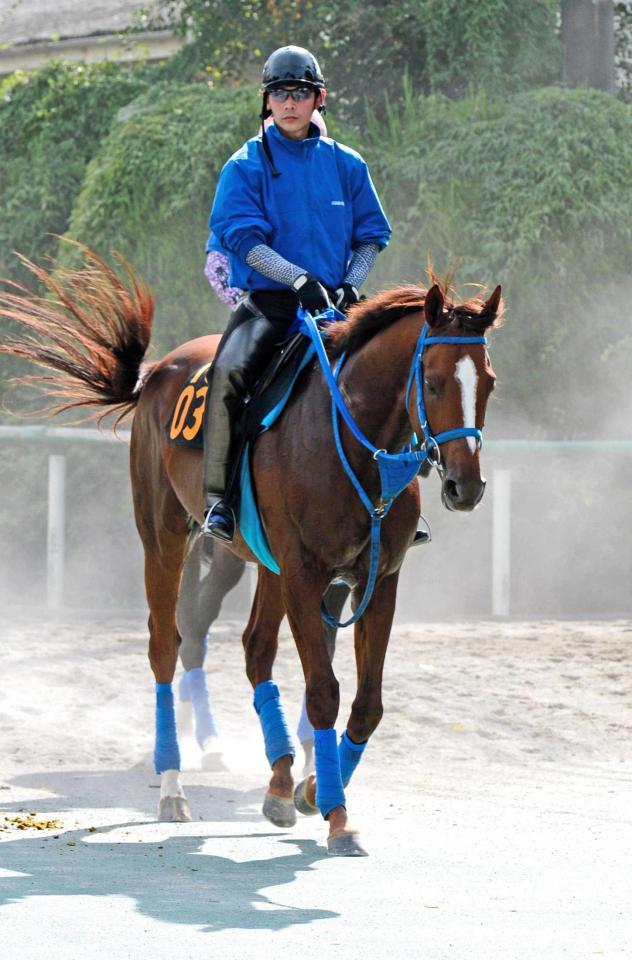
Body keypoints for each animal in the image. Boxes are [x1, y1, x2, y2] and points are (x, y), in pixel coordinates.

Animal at [0, 247, 501, 856]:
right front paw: (338, 816)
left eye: (489, 382)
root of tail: (157, 372)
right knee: (168, 645)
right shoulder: (305, 575)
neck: (350, 443)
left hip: (263, 566)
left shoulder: (376, 578)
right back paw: (173, 786)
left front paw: (313, 788)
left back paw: (280, 780)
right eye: (431, 381)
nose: (464, 486)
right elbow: (323, 692)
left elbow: (365, 703)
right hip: (166, 540)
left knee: (254, 648)